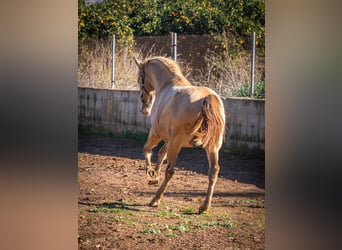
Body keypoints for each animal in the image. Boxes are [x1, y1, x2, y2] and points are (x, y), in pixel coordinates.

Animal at [134, 56, 227, 213]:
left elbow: (147, 149)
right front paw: (155, 175)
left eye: (140, 78)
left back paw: (155, 200)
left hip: (177, 144)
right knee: (213, 171)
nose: (144, 108)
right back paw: (204, 206)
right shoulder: (170, 139)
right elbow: (161, 152)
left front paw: (150, 173)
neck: (166, 85)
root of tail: (207, 97)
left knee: (170, 171)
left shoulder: (156, 133)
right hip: (212, 147)